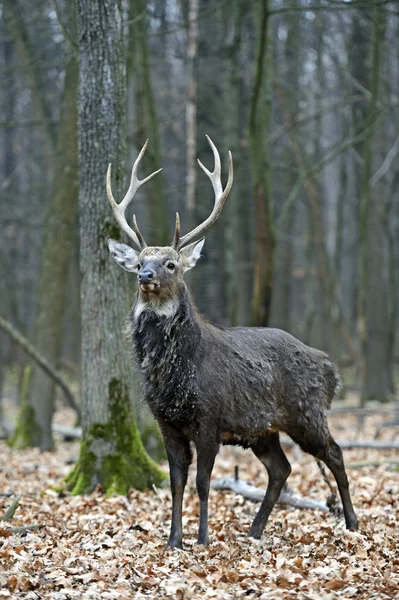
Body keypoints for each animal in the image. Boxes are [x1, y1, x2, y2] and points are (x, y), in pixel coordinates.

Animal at [106, 136, 360, 548]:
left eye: (170, 264)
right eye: (141, 261)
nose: (145, 276)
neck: (175, 376)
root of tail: (331, 369)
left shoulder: (210, 417)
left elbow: (203, 482)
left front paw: (202, 539)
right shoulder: (165, 421)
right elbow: (176, 483)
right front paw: (173, 540)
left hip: (306, 413)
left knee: (334, 453)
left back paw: (352, 522)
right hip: (263, 430)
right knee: (281, 468)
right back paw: (254, 531)